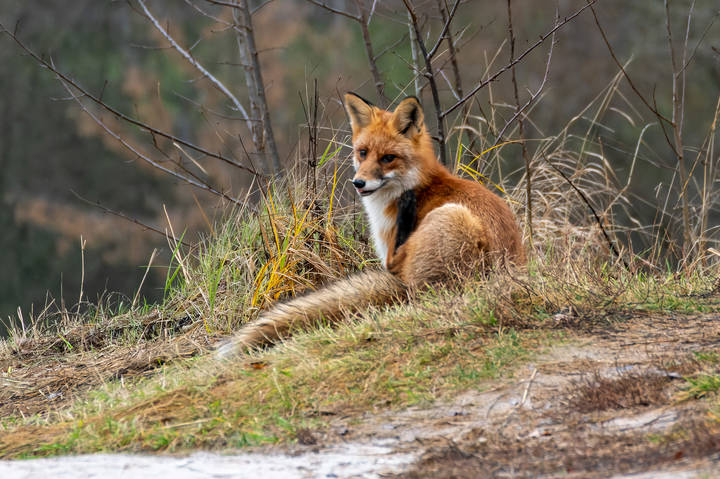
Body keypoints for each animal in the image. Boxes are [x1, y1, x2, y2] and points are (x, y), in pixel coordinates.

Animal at [217, 93, 525, 357]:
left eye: (388, 158)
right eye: (362, 152)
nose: (359, 183)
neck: (417, 185)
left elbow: (389, 258)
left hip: (450, 219)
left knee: (396, 266)